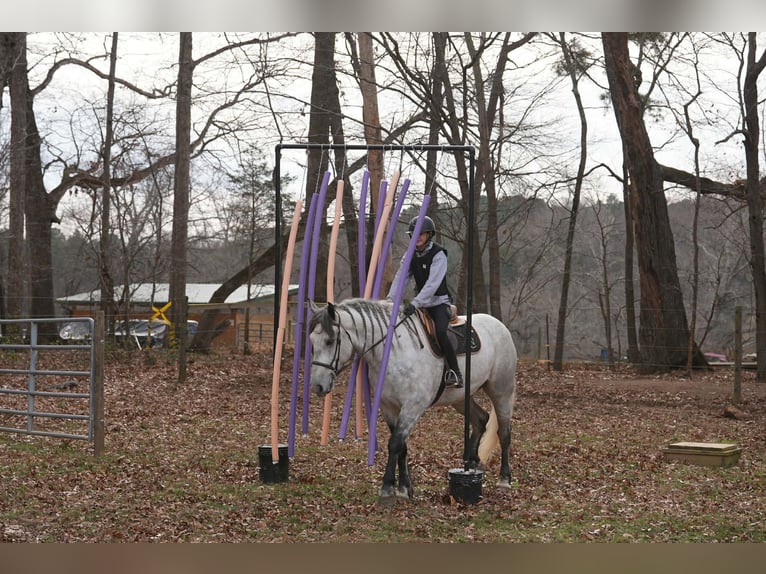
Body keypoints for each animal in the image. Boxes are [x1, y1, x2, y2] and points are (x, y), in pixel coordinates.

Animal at [308, 298, 518, 501]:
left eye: (330, 341)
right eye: (311, 341)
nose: (317, 386)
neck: (394, 351)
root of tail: (499, 325)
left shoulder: (412, 407)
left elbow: (395, 444)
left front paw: (387, 487)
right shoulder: (389, 407)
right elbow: (402, 447)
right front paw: (404, 488)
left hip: (501, 392)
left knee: (504, 433)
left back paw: (504, 480)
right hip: (459, 398)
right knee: (481, 419)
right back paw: (472, 463)